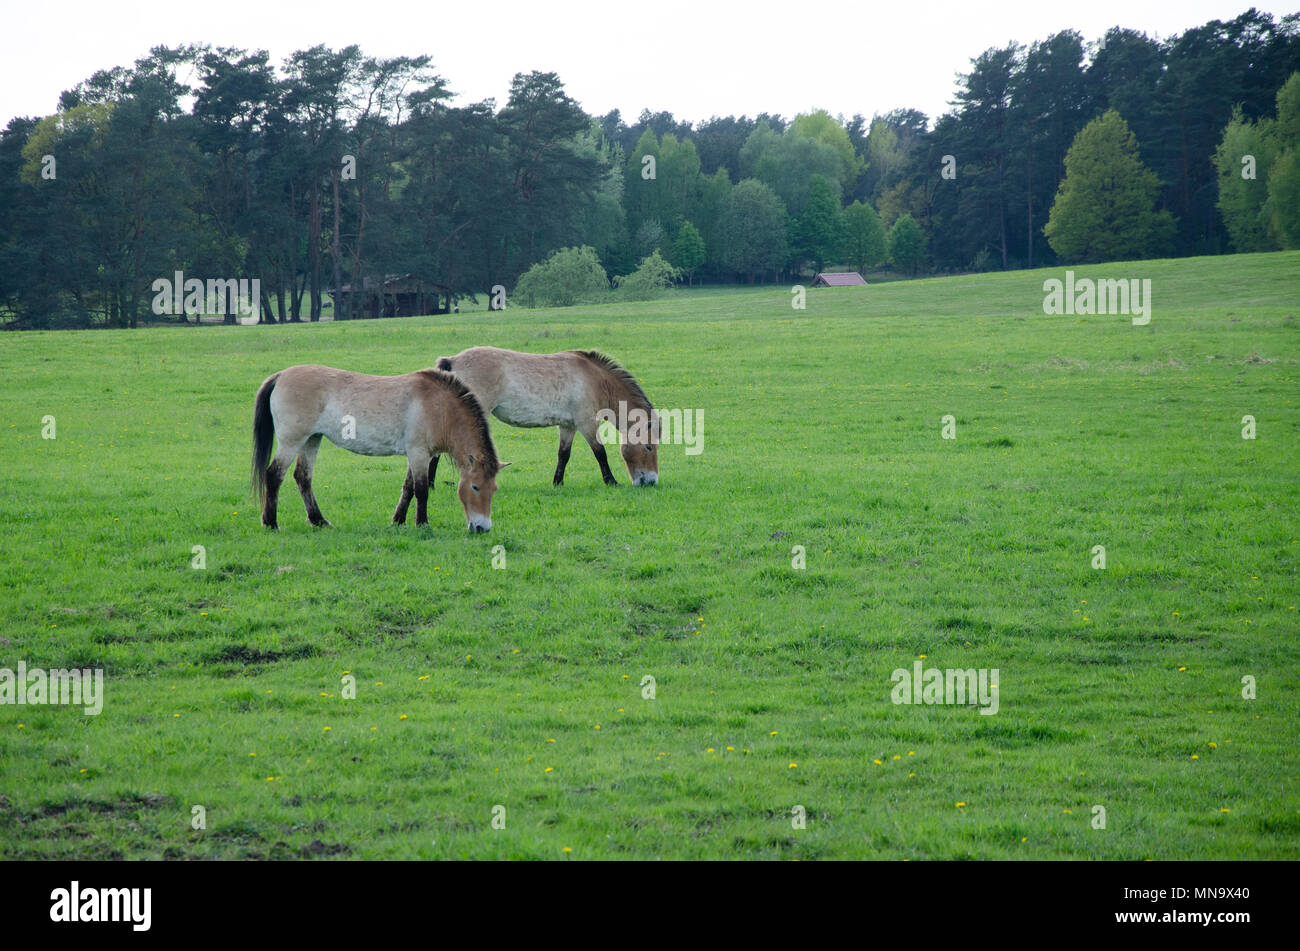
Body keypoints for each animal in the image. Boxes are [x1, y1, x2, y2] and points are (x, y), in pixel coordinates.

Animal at [249, 363, 506, 530]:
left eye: (494, 489)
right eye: (475, 487)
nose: (483, 528)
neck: (439, 406)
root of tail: (281, 376)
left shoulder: (417, 455)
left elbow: (408, 488)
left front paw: (398, 520)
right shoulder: (418, 453)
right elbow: (421, 490)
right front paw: (422, 524)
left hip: (312, 439)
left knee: (303, 477)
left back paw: (319, 521)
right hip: (292, 441)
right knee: (274, 475)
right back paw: (271, 522)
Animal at [436, 345, 660, 485]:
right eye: (648, 447)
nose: (651, 481)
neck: (595, 379)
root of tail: (453, 361)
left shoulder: (568, 426)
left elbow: (563, 454)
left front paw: (558, 482)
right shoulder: (587, 423)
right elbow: (600, 453)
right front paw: (611, 482)